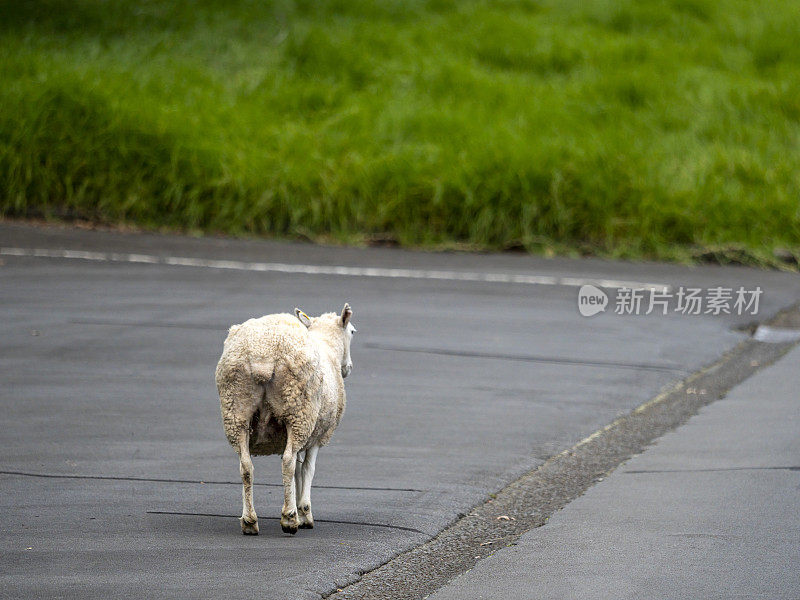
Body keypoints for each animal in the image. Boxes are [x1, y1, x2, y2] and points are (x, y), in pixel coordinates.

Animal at [217, 304, 358, 536]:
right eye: (353, 332)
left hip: (236, 410)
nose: (348, 368)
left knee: (245, 466)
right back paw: (289, 519)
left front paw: (299, 509)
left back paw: (249, 521)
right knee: (288, 462)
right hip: (298, 412)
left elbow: (299, 474)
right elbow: (306, 470)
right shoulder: (317, 435)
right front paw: (304, 513)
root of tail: (262, 355)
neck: (330, 348)